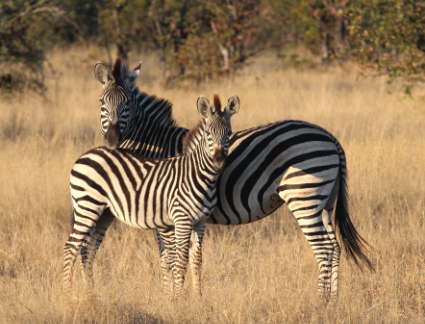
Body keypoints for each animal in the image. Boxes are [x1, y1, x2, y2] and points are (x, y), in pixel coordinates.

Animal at [61, 92, 238, 298]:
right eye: (209, 133)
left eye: (229, 133)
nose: (219, 160)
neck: (200, 176)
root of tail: (85, 155)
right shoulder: (182, 220)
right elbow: (180, 261)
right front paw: (180, 299)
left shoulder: (200, 222)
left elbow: (197, 260)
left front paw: (198, 298)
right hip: (87, 206)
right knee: (71, 248)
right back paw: (68, 295)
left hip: (103, 212)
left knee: (87, 250)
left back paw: (91, 295)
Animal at [91, 58, 372, 304]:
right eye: (101, 102)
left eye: (127, 103)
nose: (112, 139)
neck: (157, 147)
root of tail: (330, 137)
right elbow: (175, 258)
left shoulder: (168, 216)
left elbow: (170, 259)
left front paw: (171, 299)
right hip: (325, 201)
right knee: (335, 247)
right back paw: (333, 301)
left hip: (304, 196)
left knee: (323, 248)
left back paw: (320, 302)